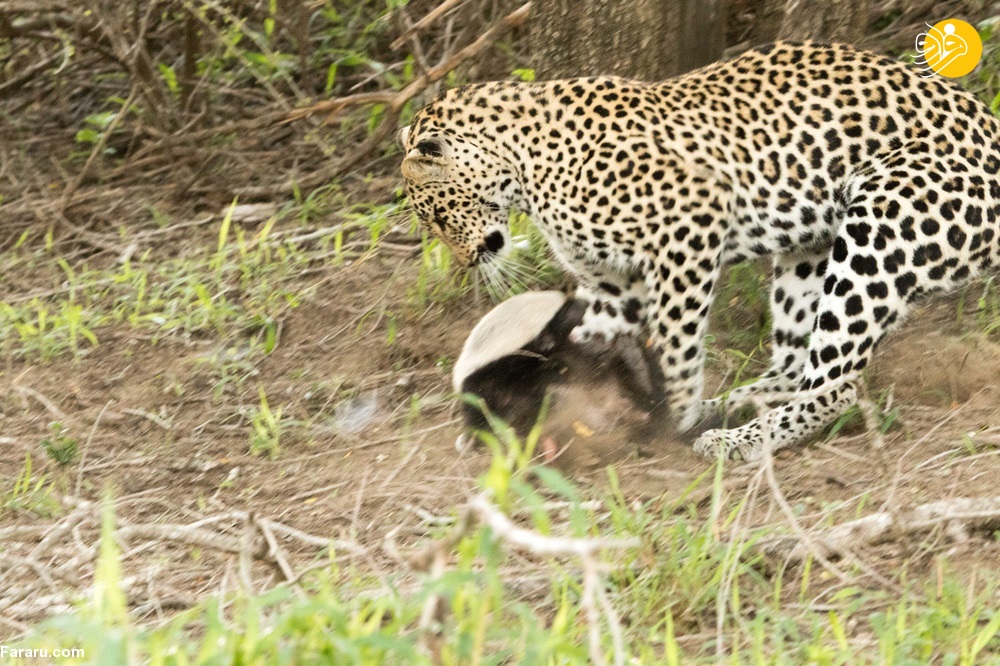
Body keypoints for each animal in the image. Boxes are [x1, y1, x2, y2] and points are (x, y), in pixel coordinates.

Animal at [396, 39, 1000, 460]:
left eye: (440, 216)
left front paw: (676, 408)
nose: (465, 260)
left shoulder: (690, 222)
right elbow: (595, 339)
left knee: (835, 385)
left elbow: (677, 337)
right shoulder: (614, 284)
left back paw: (736, 439)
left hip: (878, 225)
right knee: (793, 365)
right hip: (807, 252)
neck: (524, 166)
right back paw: (728, 408)